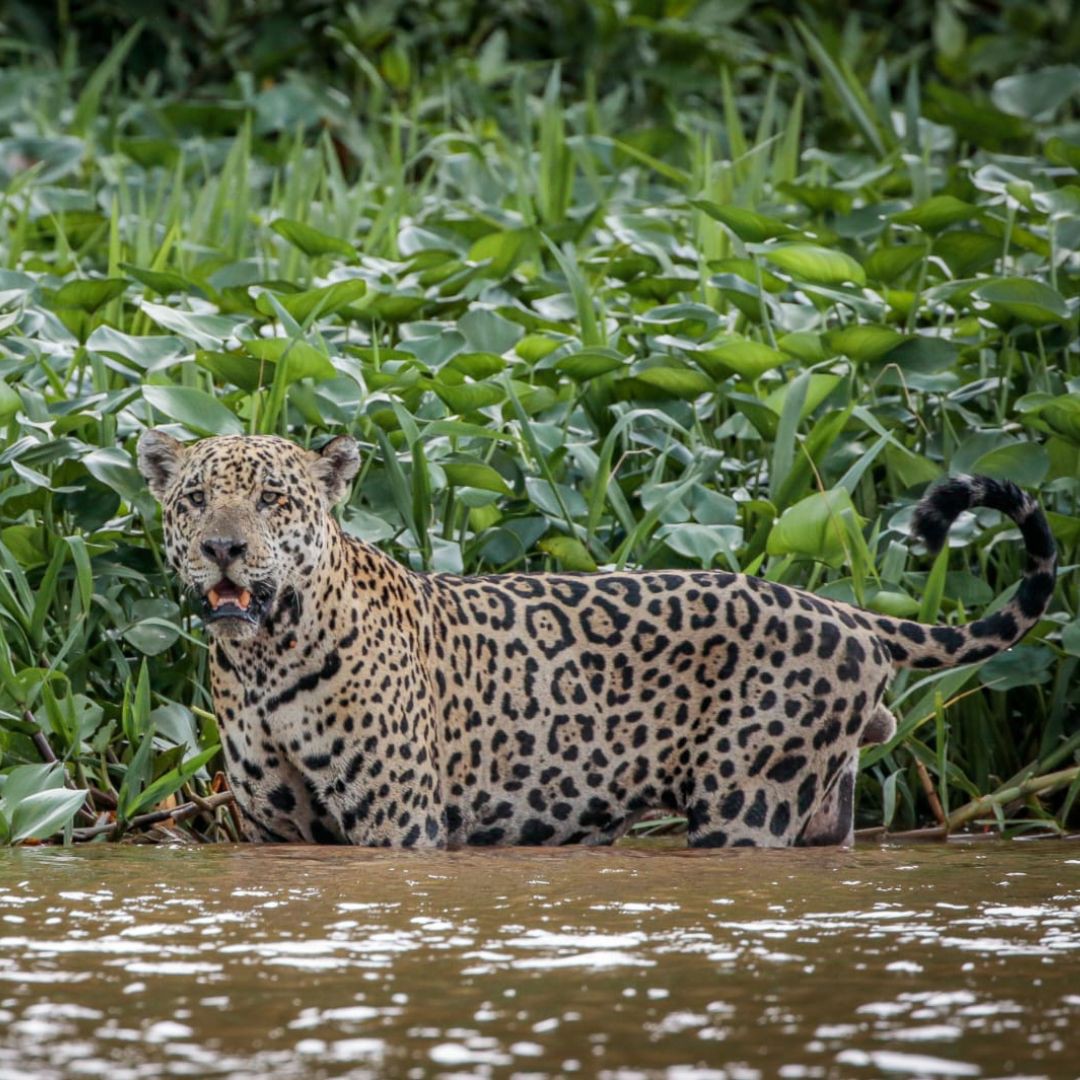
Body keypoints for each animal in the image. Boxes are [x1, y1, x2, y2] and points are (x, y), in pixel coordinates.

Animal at [137, 430, 1057, 849]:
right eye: (196, 500)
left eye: (272, 500)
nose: (224, 548)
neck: (265, 656)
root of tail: (842, 610)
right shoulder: (275, 834)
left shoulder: (398, 829)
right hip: (823, 809)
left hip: (749, 804)